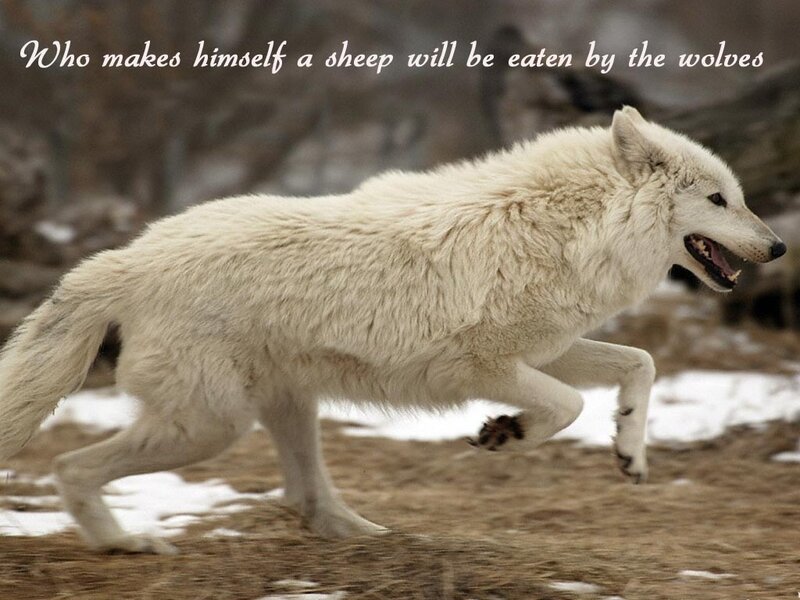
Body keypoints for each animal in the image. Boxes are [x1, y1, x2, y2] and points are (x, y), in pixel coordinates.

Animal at [0, 107, 784, 554]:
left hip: (280, 408)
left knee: (308, 501)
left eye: (739, 197)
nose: (778, 247)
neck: (565, 229)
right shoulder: (484, 368)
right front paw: (508, 433)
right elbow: (567, 406)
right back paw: (121, 546)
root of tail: (124, 259)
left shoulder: (551, 350)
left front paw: (629, 451)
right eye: (718, 200)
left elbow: (640, 363)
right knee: (70, 468)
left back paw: (372, 538)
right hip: (209, 427)